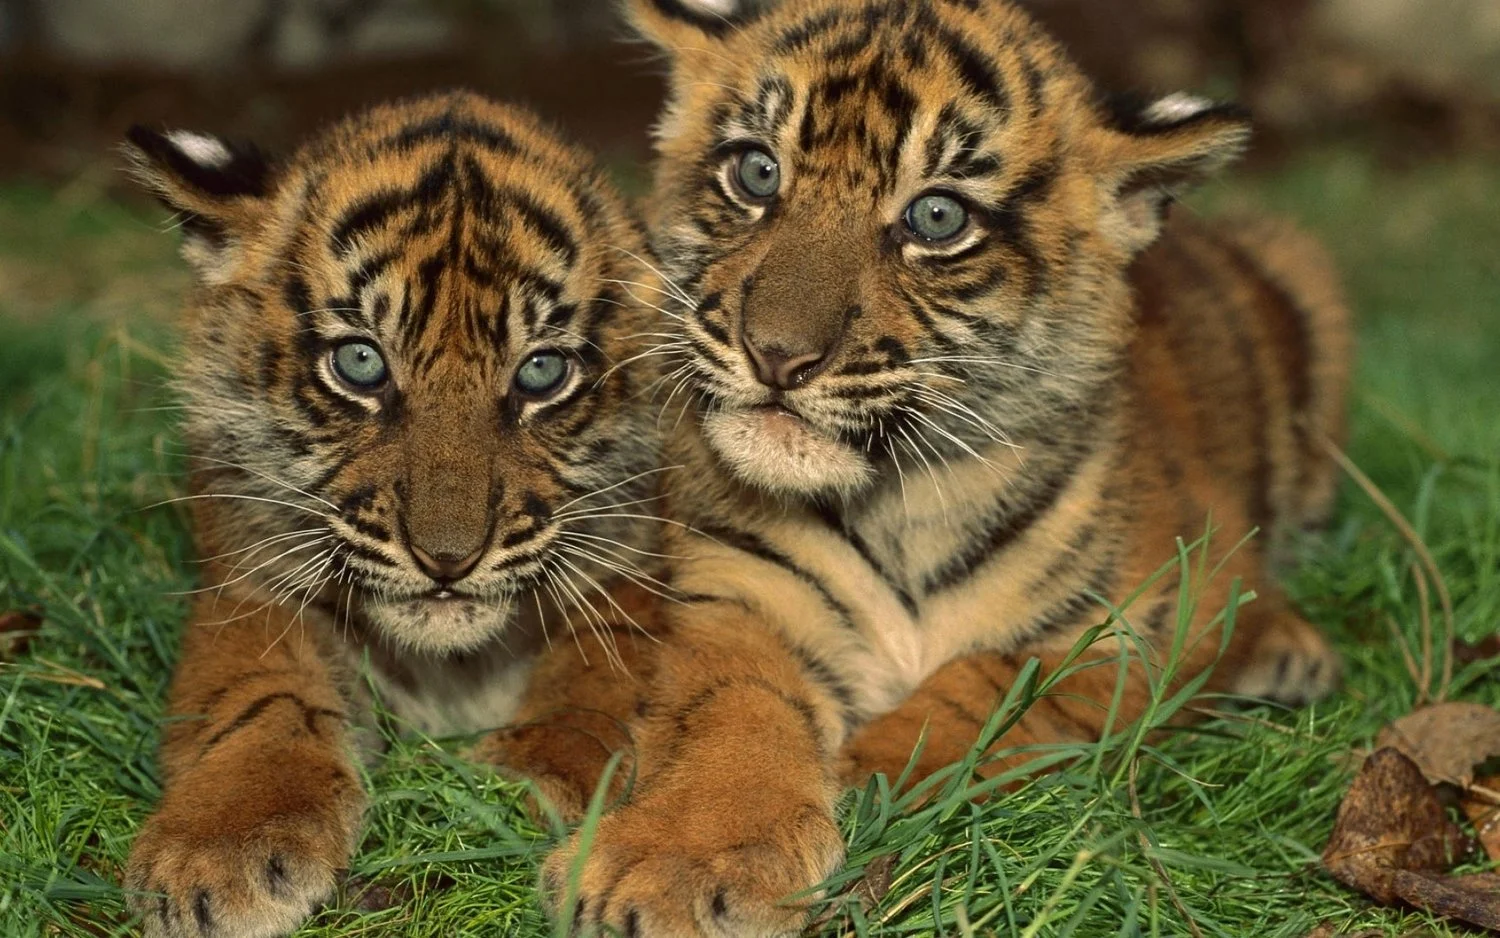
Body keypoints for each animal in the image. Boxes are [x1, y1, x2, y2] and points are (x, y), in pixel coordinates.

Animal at [120, 91, 675, 938]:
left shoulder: (635, 580)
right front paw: (217, 850)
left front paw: (510, 791)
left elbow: (592, 690)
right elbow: (260, 699)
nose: (447, 559)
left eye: (541, 372)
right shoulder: (248, 588)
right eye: (360, 363)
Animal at [538, 1, 1353, 935]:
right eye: (756, 172)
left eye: (936, 218)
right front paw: (672, 862)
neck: (900, 498)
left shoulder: (1153, 611)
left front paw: (865, 778)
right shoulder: (742, 598)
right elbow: (732, 715)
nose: (776, 355)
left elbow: (991, 683)